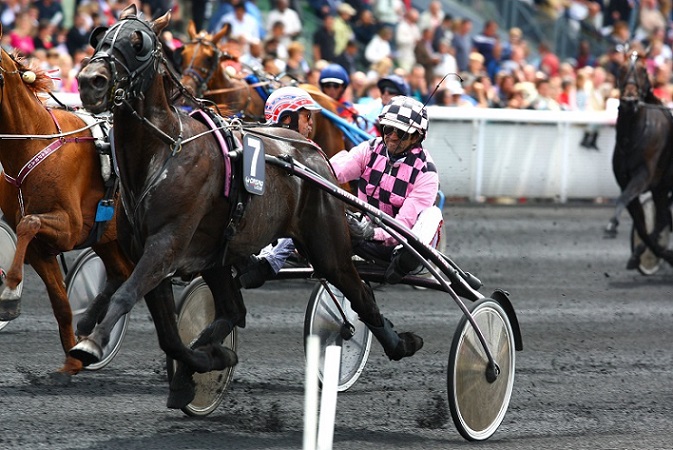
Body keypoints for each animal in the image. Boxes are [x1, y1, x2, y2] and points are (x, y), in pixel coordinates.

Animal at [0, 40, 135, 376]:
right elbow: (61, 305)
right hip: (108, 237)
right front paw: (72, 361)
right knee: (122, 273)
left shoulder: (70, 228)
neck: (32, 144)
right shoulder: (41, 250)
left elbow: (28, 223)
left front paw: (8, 292)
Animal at [73, 5, 420, 410]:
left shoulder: (166, 245)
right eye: (99, 37)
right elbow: (169, 334)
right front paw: (204, 364)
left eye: (138, 42)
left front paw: (91, 342)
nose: (90, 81)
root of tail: (313, 153)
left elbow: (127, 294)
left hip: (326, 245)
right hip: (219, 256)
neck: (163, 153)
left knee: (361, 293)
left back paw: (399, 341)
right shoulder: (150, 251)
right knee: (234, 310)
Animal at [600, 50, 672, 268]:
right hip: (661, 189)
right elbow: (641, 225)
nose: (630, 101)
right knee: (663, 218)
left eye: (643, 70)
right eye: (621, 68)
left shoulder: (643, 175)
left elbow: (624, 199)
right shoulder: (625, 179)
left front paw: (612, 225)